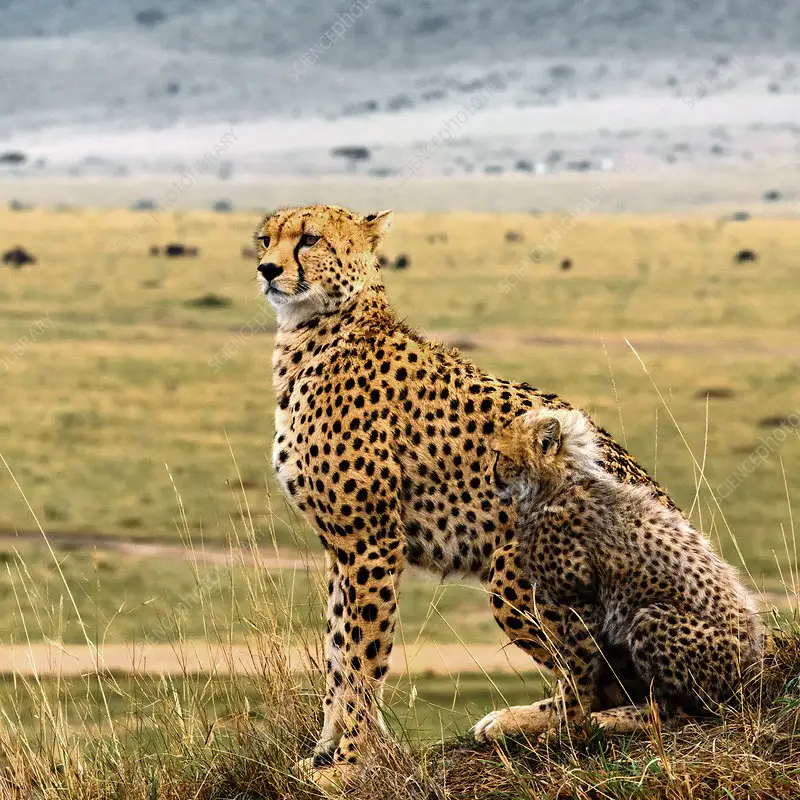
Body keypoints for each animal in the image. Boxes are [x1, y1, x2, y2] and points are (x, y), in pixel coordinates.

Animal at [253, 204, 681, 787]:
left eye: (309, 239)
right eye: (265, 238)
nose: (267, 269)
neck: (317, 330)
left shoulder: (371, 543)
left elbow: (363, 659)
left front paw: (351, 764)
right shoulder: (342, 548)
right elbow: (338, 654)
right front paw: (325, 752)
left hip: (514, 567)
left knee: (606, 694)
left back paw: (552, 724)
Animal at [473, 407, 764, 743]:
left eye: (498, 453)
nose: (488, 476)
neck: (559, 483)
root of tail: (755, 665)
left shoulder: (582, 603)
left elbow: (575, 674)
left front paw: (569, 729)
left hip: (651, 618)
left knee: (680, 712)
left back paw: (613, 719)